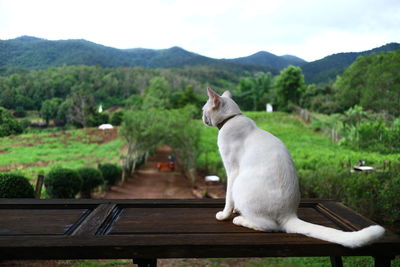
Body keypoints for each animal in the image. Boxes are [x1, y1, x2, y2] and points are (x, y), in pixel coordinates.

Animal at [203, 88, 384, 249]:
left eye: (204, 110)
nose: (201, 117)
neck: (232, 118)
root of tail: (289, 215)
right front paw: (233, 210)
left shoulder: (232, 171)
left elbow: (228, 198)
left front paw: (225, 215)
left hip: (241, 185)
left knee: (270, 226)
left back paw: (242, 220)